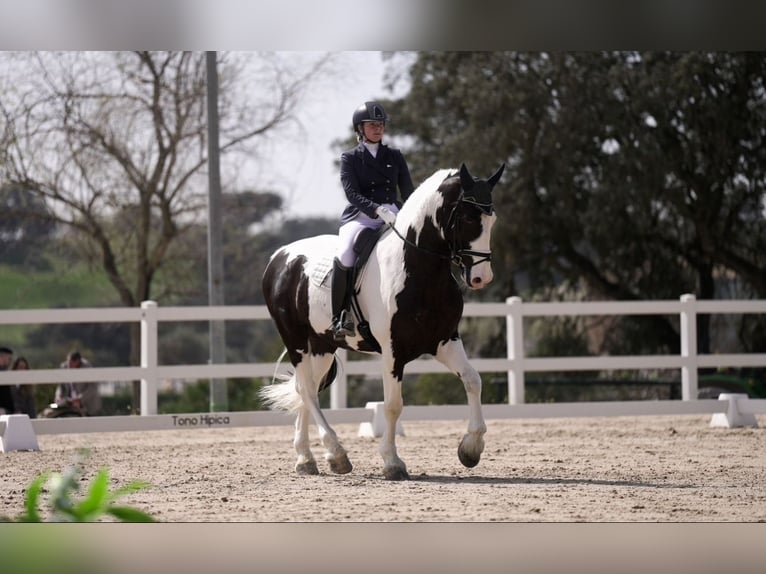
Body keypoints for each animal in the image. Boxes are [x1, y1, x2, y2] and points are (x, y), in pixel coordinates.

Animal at [260, 163, 508, 482]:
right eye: (467, 218)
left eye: (492, 219)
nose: (481, 278)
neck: (419, 271)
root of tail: (279, 256)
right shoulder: (393, 352)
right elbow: (392, 405)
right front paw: (392, 462)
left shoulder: (445, 341)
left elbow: (473, 380)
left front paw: (470, 449)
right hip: (296, 341)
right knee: (306, 391)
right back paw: (336, 454)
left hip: (321, 346)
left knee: (308, 389)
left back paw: (307, 459)